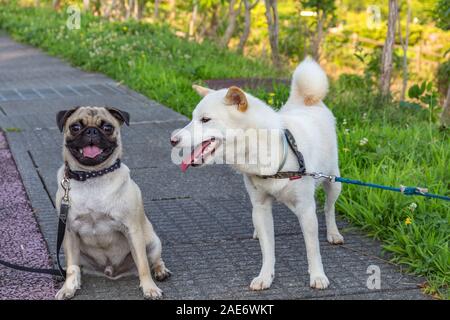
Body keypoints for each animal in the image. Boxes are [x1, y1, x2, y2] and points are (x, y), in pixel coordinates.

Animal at [54, 106, 170, 298]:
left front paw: (149, 288)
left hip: (153, 243)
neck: (92, 176)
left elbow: (143, 265)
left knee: (154, 260)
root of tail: (111, 271)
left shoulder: (132, 231)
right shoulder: (69, 232)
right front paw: (68, 287)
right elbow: (72, 267)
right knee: (75, 266)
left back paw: (161, 271)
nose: (91, 131)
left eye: (107, 127)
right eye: (75, 127)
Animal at [171, 57, 342, 290]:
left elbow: (312, 249)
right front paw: (265, 276)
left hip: (333, 182)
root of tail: (307, 101)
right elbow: (267, 249)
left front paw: (317, 275)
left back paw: (333, 233)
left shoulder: (306, 209)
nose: (173, 140)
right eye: (192, 118)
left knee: (329, 208)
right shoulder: (260, 206)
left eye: (205, 120)